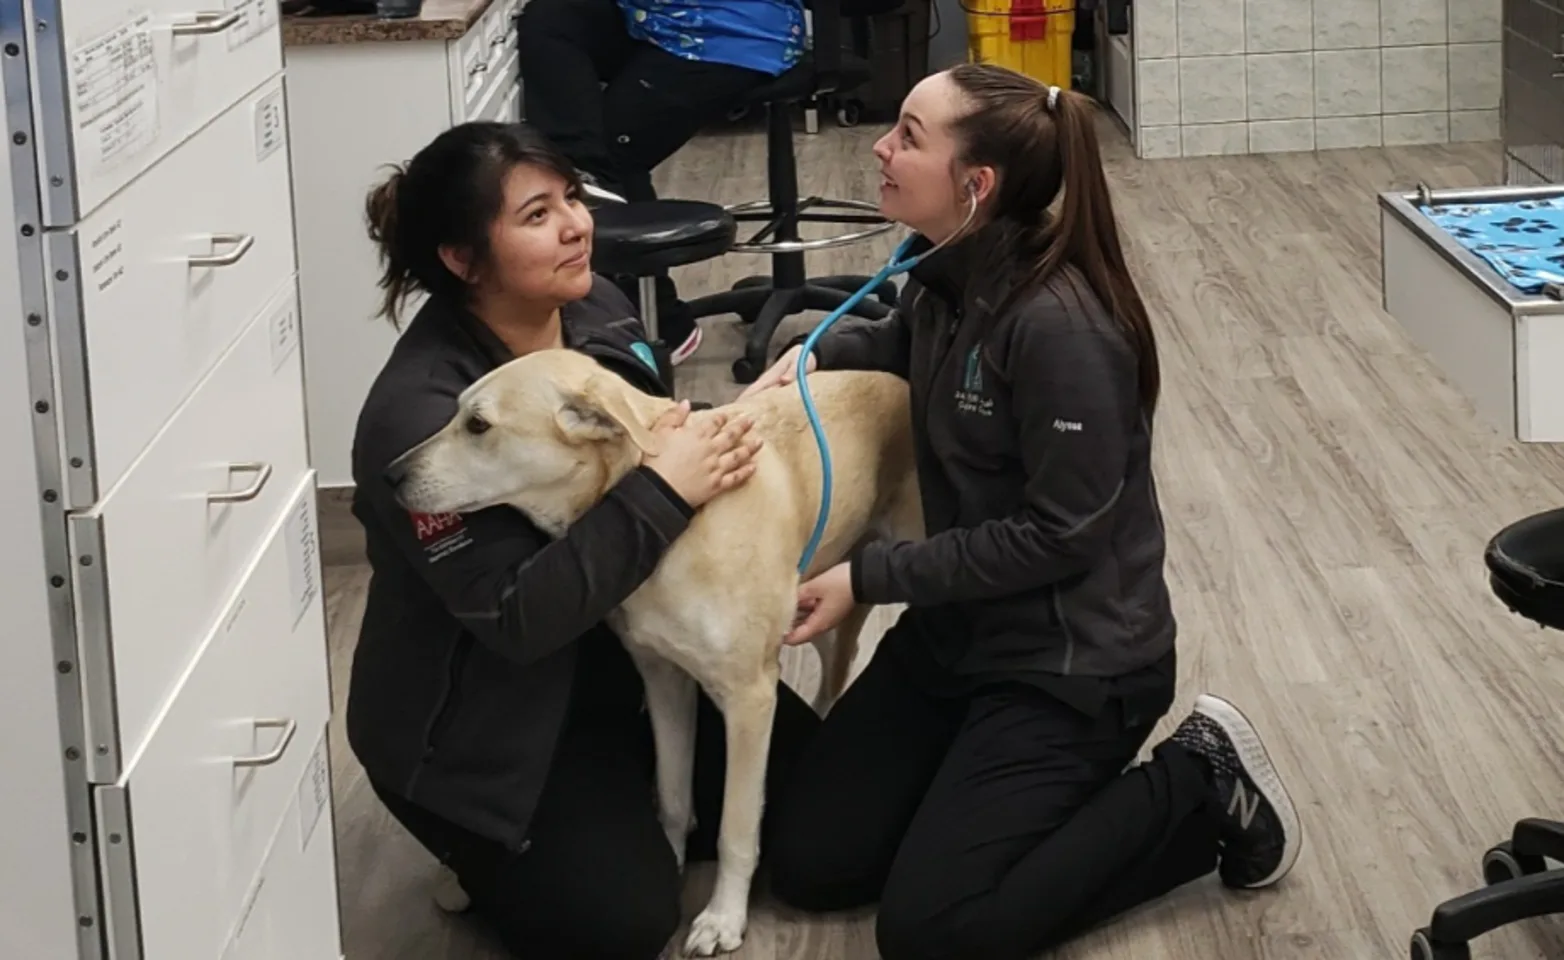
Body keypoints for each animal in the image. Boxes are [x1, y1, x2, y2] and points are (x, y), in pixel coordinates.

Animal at [391, 345, 919, 956]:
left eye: (477, 425)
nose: (388, 476)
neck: (679, 522)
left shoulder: (749, 700)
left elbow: (736, 827)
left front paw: (724, 917)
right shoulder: (664, 677)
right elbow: (671, 795)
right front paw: (673, 862)